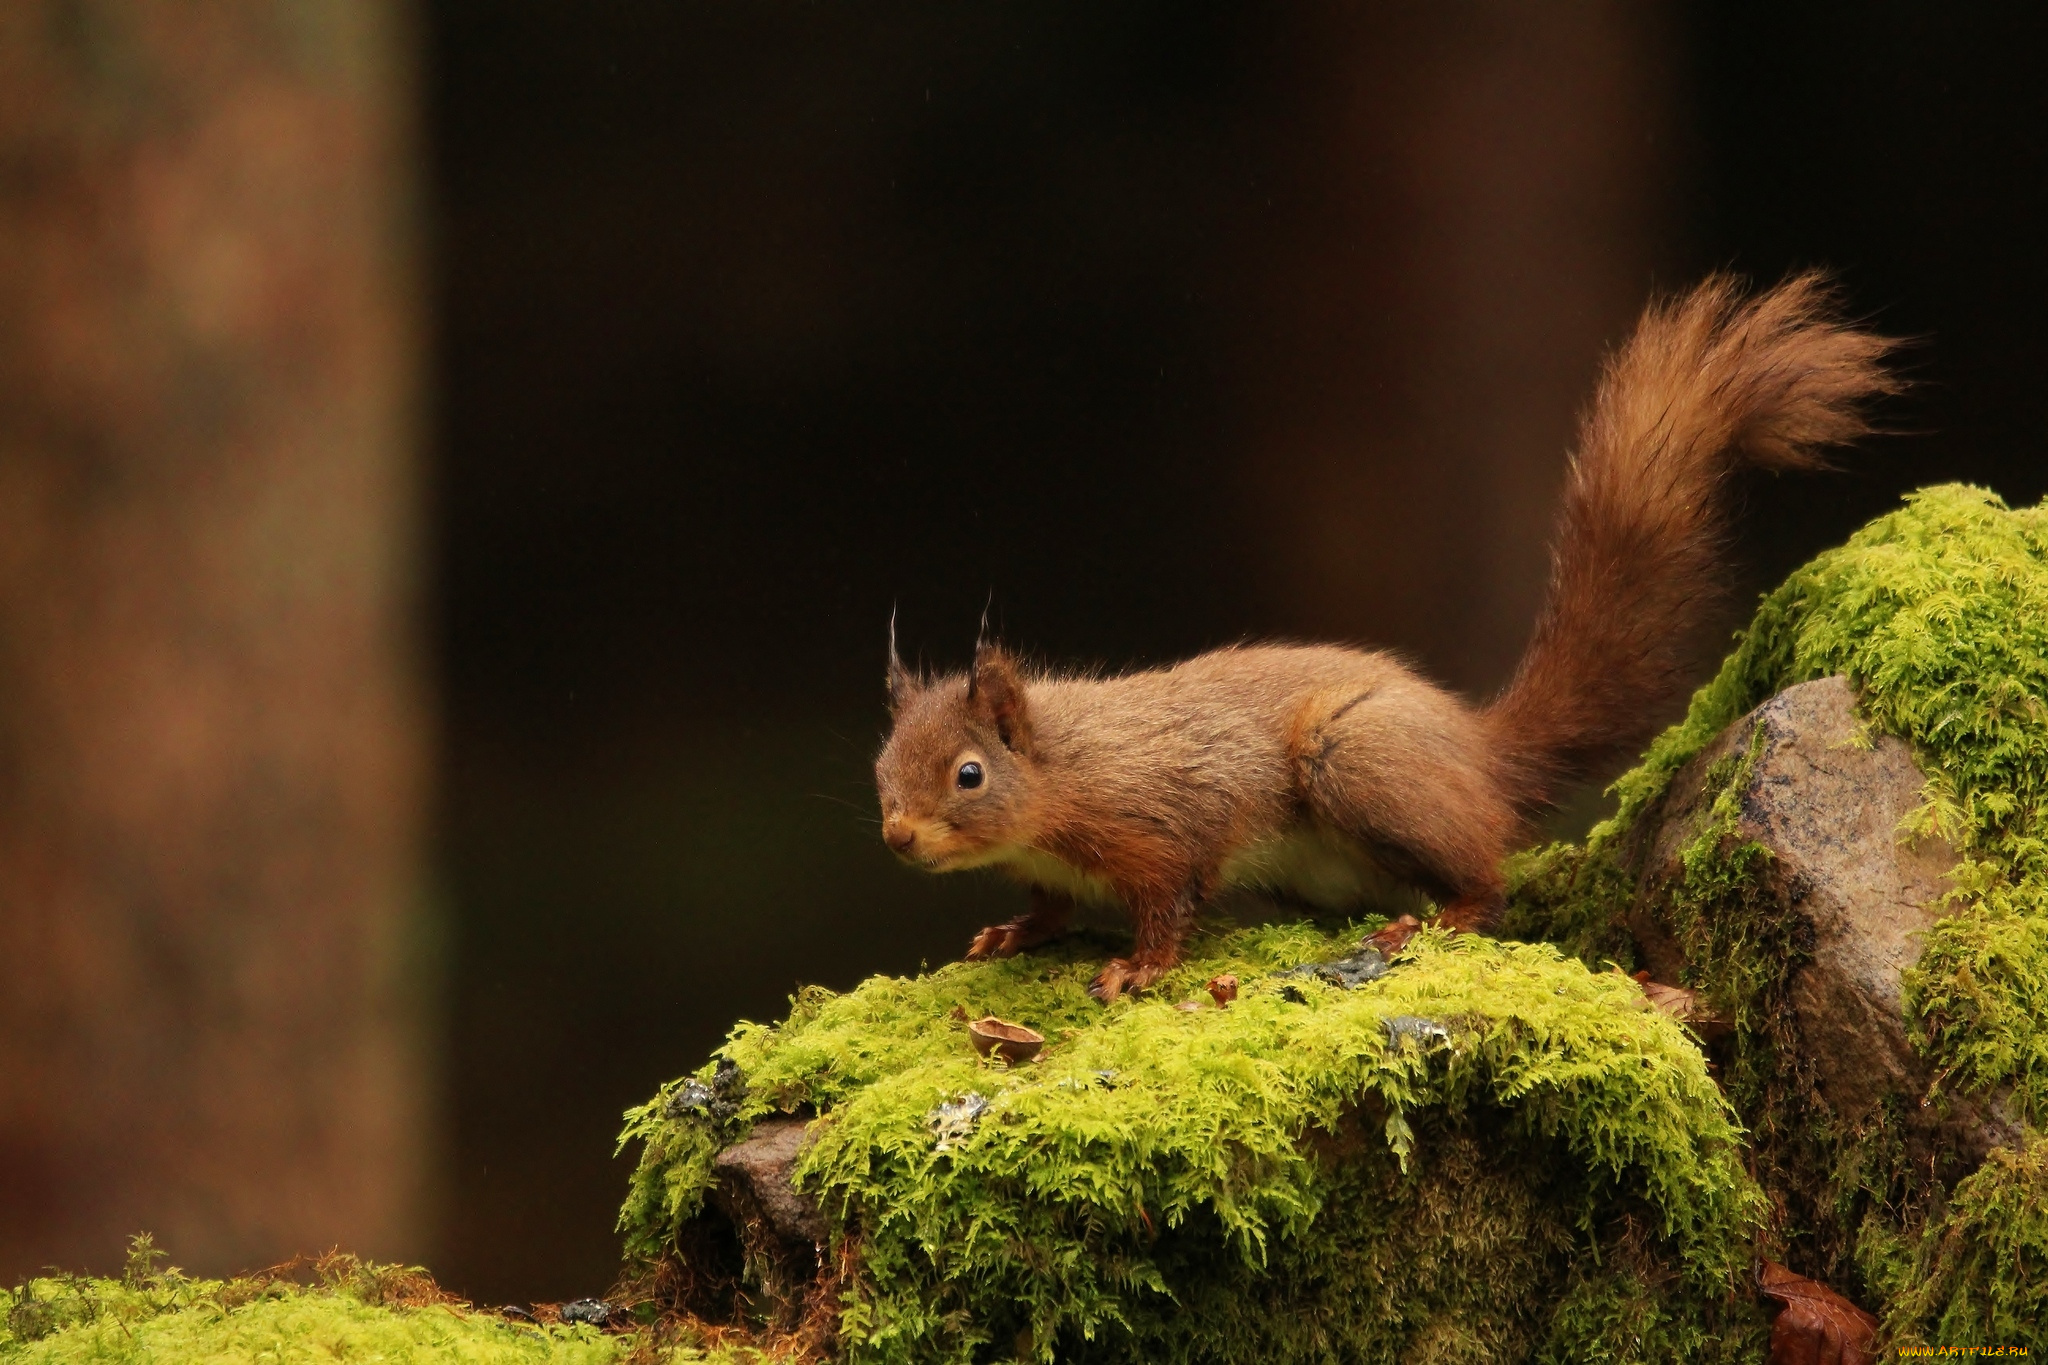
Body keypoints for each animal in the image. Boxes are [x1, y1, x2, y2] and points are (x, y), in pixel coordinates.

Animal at [872, 278, 1892, 1002]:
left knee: (1488, 878)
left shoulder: (1164, 819)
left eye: (969, 773)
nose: (897, 836)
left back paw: (1433, 921)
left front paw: (1138, 966)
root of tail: (1479, 754)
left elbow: (1170, 899)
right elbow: (1048, 903)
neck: (1063, 770)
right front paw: (1015, 932)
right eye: (880, 768)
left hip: (1361, 756)